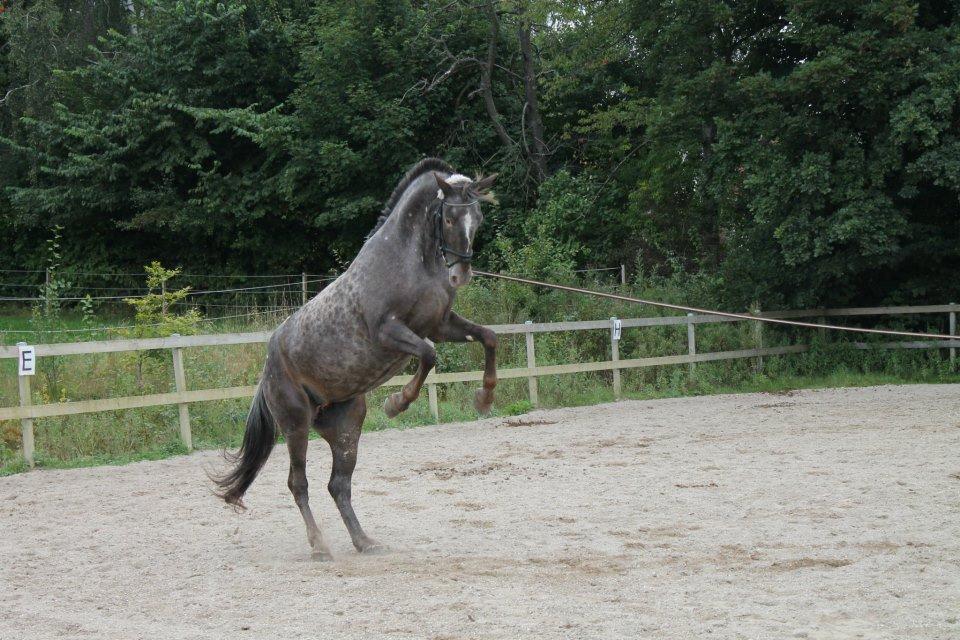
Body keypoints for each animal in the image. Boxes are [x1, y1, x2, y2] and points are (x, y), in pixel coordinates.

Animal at [214, 159, 498, 560]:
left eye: (479, 218)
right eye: (448, 218)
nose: (461, 274)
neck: (410, 262)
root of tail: (268, 368)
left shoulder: (440, 324)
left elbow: (488, 337)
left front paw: (484, 397)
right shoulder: (389, 332)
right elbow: (429, 355)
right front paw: (398, 403)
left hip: (347, 425)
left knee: (338, 485)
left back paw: (364, 541)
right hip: (296, 424)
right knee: (298, 483)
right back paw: (319, 546)